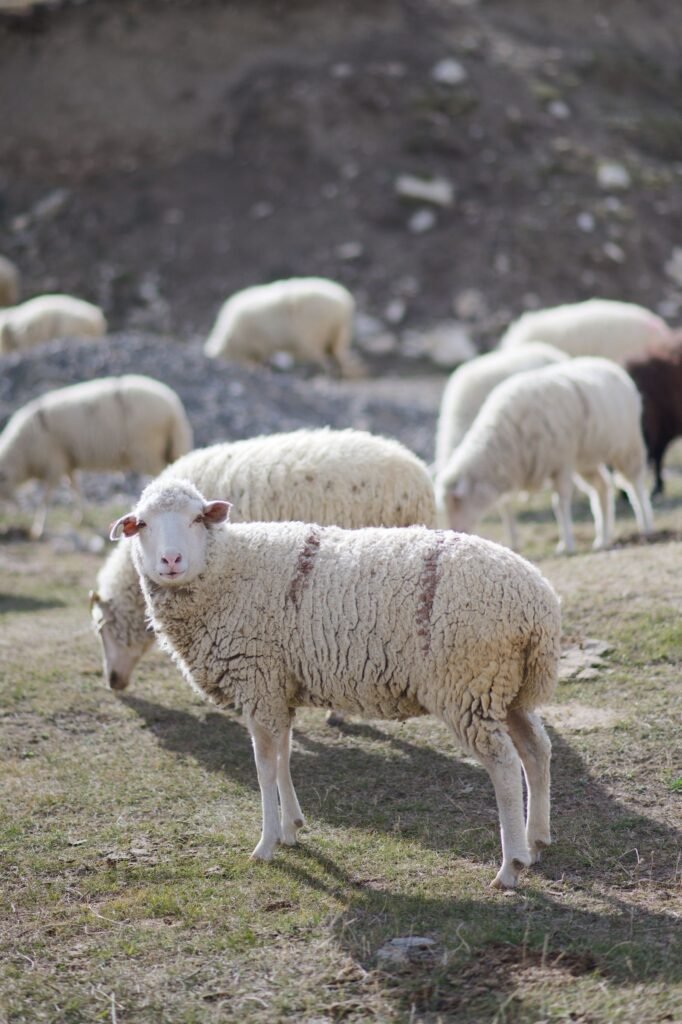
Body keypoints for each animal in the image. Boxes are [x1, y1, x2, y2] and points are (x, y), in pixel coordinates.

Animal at [0, 374, 192, 537]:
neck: (22, 454)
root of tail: (174, 409)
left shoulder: (54, 462)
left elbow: (46, 498)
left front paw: (38, 528)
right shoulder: (68, 462)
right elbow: (75, 489)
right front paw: (82, 517)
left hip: (146, 451)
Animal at [111, 477, 561, 889]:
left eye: (197, 518)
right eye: (143, 524)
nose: (171, 560)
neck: (227, 570)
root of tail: (538, 603)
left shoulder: (258, 682)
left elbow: (263, 767)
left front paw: (266, 843)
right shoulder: (279, 688)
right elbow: (284, 757)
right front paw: (291, 828)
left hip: (467, 685)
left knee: (505, 767)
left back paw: (510, 866)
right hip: (506, 690)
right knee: (537, 751)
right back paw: (537, 842)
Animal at [203, 277, 362, 377]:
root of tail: (345, 300)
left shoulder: (259, 344)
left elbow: (260, 361)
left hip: (315, 333)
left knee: (323, 357)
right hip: (337, 333)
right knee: (336, 355)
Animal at [435, 357, 654, 554]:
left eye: (457, 500)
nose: (455, 531)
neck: (506, 439)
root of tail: (610, 364)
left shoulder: (562, 462)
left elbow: (559, 504)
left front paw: (566, 545)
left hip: (627, 445)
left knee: (635, 484)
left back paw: (646, 525)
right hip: (586, 460)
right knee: (602, 487)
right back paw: (602, 538)